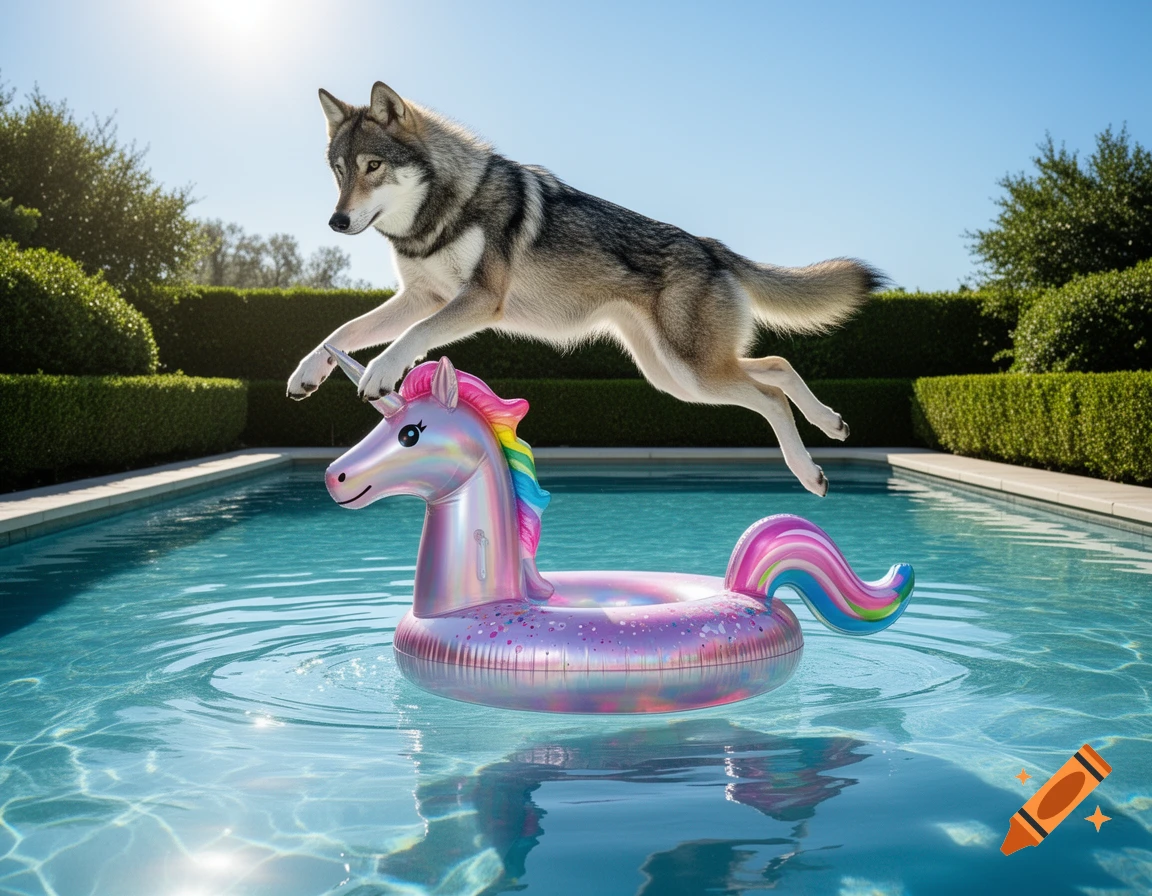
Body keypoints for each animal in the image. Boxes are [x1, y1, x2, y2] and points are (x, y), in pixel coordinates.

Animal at [287, 81, 883, 496]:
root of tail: (712, 247)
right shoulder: (423, 298)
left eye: (373, 166)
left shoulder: (475, 301)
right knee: (777, 366)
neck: (438, 216)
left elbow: (408, 337)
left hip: (694, 372)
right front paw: (306, 374)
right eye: (339, 171)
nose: (336, 221)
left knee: (771, 395)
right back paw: (832, 424)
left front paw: (381, 372)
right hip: (678, 378)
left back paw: (810, 473)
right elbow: (341, 330)